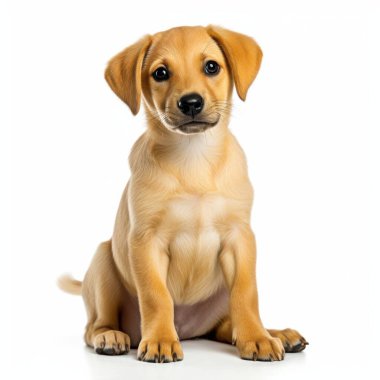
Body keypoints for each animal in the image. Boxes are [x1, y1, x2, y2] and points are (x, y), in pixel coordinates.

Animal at [60, 25, 308, 364]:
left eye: (212, 67)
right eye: (161, 73)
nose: (191, 102)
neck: (194, 158)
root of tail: (190, 330)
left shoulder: (240, 239)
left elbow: (246, 293)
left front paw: (257, 338)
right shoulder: (145, 241)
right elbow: (156, 296)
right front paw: (161, 340)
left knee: (226, 325)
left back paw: (276, 333)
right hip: (102, 262)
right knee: (93, 326)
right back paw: (111, 336)